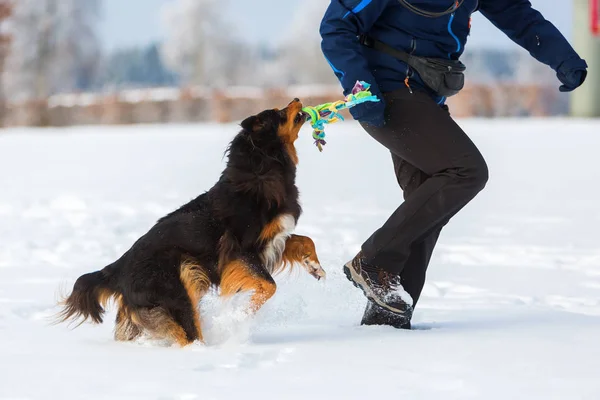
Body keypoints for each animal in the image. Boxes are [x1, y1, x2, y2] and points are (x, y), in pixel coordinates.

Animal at [55, 98, 326, 346]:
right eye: (278, 113)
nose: (296, 99)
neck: (261, 167)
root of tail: (117, 268)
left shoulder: (273, 239)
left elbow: (306, 240)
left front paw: (315, 267)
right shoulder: (240, 248)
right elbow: (269, 285)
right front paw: (244, 311)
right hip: (177, 284)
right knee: (188, 332)